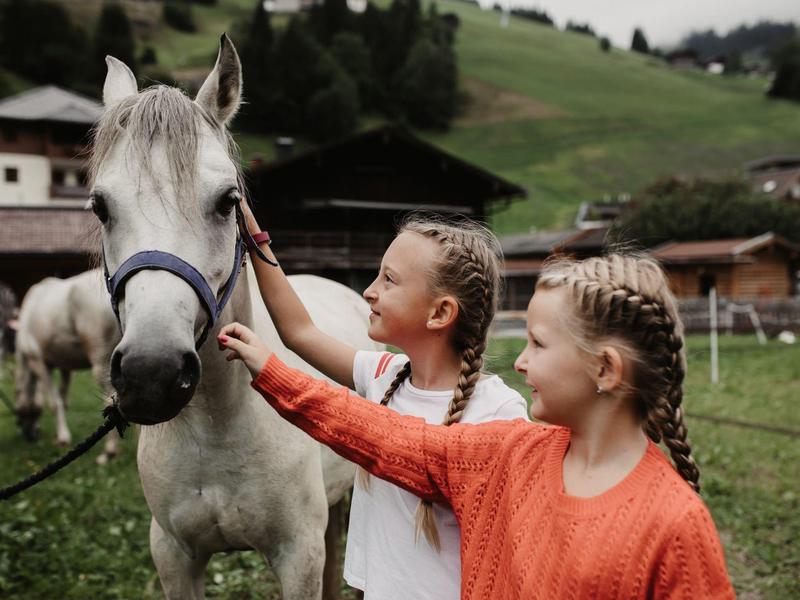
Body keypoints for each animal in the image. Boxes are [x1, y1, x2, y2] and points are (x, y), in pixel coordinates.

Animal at [14, 269, 123, 463]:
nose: (30, 434)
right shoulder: (65, 366)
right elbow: (63, 400)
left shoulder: (39, 362)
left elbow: (54, 403)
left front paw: (63, 439)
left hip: (102, 364)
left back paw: (108, 452)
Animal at [89, 35, 376, 599]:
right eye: (100, 207)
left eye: (229, 201)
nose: (151, 374)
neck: (218, 426)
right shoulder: (174, 554)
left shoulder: (298, 556)